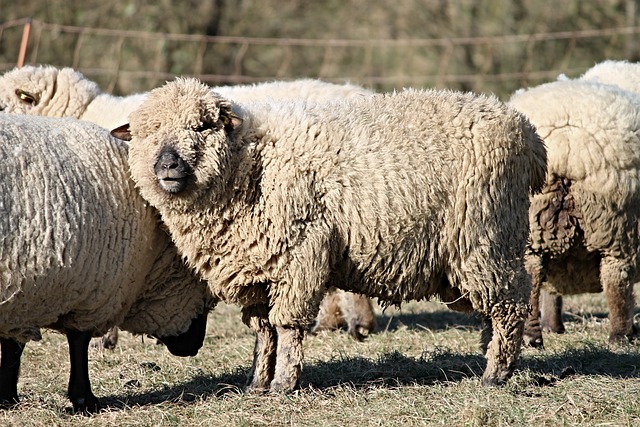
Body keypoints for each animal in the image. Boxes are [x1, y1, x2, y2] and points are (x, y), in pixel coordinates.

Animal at [0, 113, 215, 414]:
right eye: (204, 295)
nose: (194, 347)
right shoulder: (90, 285)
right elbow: (77, 342)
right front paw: (84, 399)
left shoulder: (24, 288)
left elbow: (12, 345)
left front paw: (7, 396)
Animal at [112, 77, 548, 392]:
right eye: (146, 132)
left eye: (203, 126)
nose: (167, 164)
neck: (249, 166)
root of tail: (527, 134)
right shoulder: (257, 268)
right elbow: (263, 331)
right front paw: (256, 382)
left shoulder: (298, 254)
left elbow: (287, 327)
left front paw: (283, 384)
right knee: (499, 305)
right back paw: (492, 357)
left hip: (485, 234)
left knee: (510, 301)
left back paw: (496, 373)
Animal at [508, 79, 640, 348]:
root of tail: (565, 143)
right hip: (615, 224)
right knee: (616, 280)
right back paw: (621, 336)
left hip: (533, 225)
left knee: (531, 278)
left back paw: (531, 336)